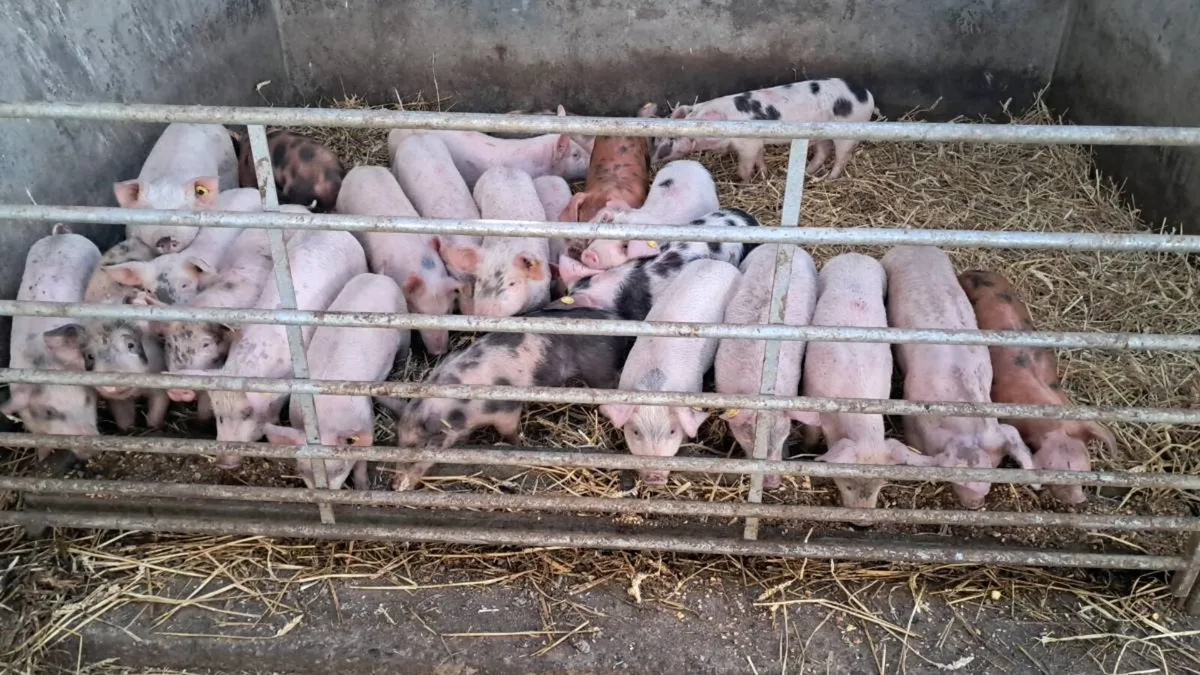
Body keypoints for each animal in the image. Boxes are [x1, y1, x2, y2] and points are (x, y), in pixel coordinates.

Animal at [3, 225, 101, 458]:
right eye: (50, 412)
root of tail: (60, 233)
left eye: (87, 399)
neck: (43, 362)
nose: (90, 449)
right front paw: (42, 456)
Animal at [264, 273, 409, 490]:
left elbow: (361, 460)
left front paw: (362, 487)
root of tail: (379, 276)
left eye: (339, 469)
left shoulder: (366, 420)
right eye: (303, 471)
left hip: (403, 320)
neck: (324, 420)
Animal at [393, 304, 634, 490]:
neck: (460, 408)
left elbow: (509, 430)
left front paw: (517, 444)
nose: (396, 486)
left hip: (599, 369)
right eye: (400, 444)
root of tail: (615, 320)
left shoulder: (505, 408)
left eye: (423, 445)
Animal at [646, 78, 875, 181]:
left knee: (842, 157)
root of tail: (867, 94)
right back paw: (807, 173)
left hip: (848, 134)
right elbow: (759, 158)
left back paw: (828, 178)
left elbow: (745, 166)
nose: (654, 158)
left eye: (672, 139)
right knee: (823, 151)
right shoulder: (756, 143)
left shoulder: (747, 144)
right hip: (821, 134)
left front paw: (744, 182)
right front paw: (765, 175)